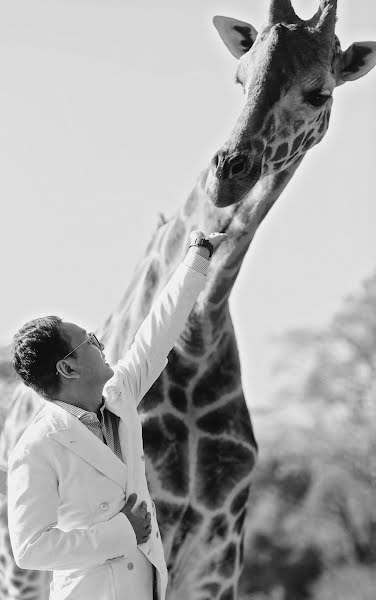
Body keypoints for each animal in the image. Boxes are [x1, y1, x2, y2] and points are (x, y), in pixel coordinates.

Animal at [0, 1, 374, 600]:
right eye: (240, 77)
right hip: (20, 574)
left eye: (320, 92)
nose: (228, 173)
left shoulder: (218, 559)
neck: (200, 336)